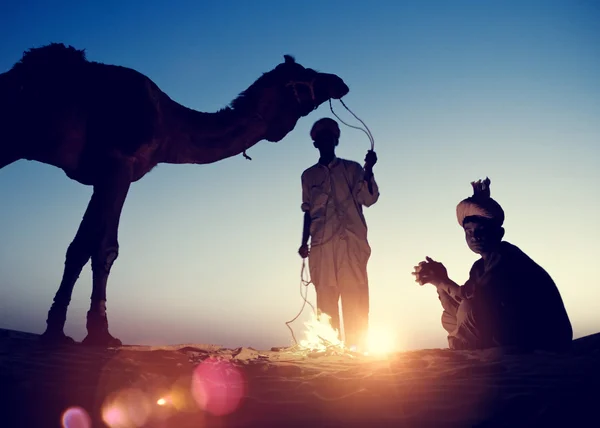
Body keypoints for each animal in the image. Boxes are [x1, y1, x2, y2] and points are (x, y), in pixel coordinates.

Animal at [0, 41, 350, 346]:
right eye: (305, 74)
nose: (339, 81)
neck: (168, 125)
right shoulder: (119, 164)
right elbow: (105, 247)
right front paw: (100, 333)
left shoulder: (105, 175)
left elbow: (79, 246)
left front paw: (55, 330)